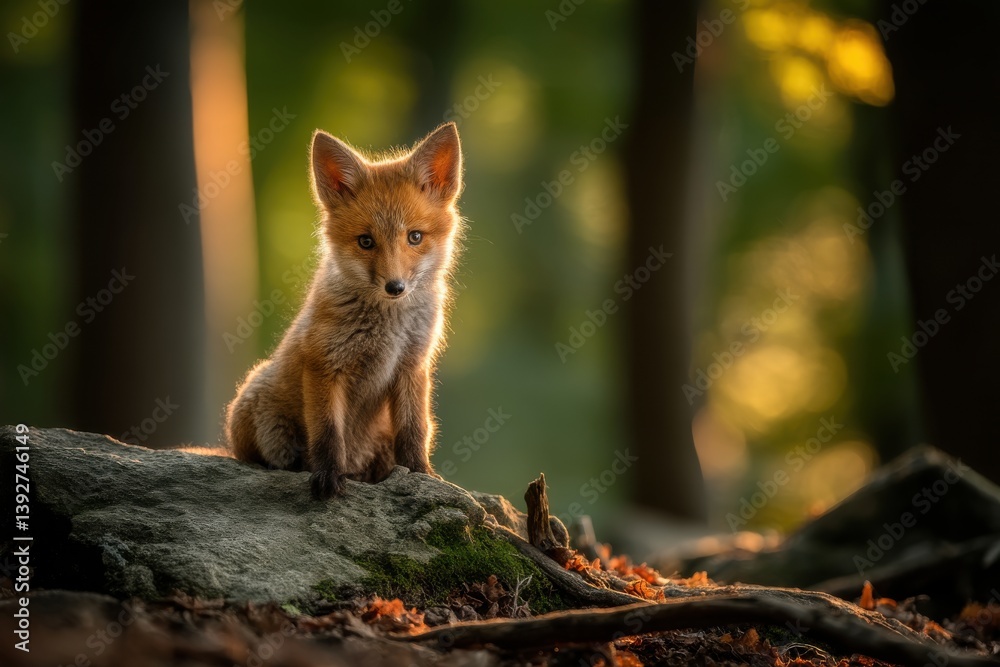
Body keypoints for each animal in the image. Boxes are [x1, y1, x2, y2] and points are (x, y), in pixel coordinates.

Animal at [224, 122, 464, 500]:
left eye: (414, 237)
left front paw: (420, 476)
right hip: (262, 412)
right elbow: (327, 433)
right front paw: (327, 476)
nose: (395, 287)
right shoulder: (324, 365)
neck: (388, 329)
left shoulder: (412, 365)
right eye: (366, 241)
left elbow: (413, 431)